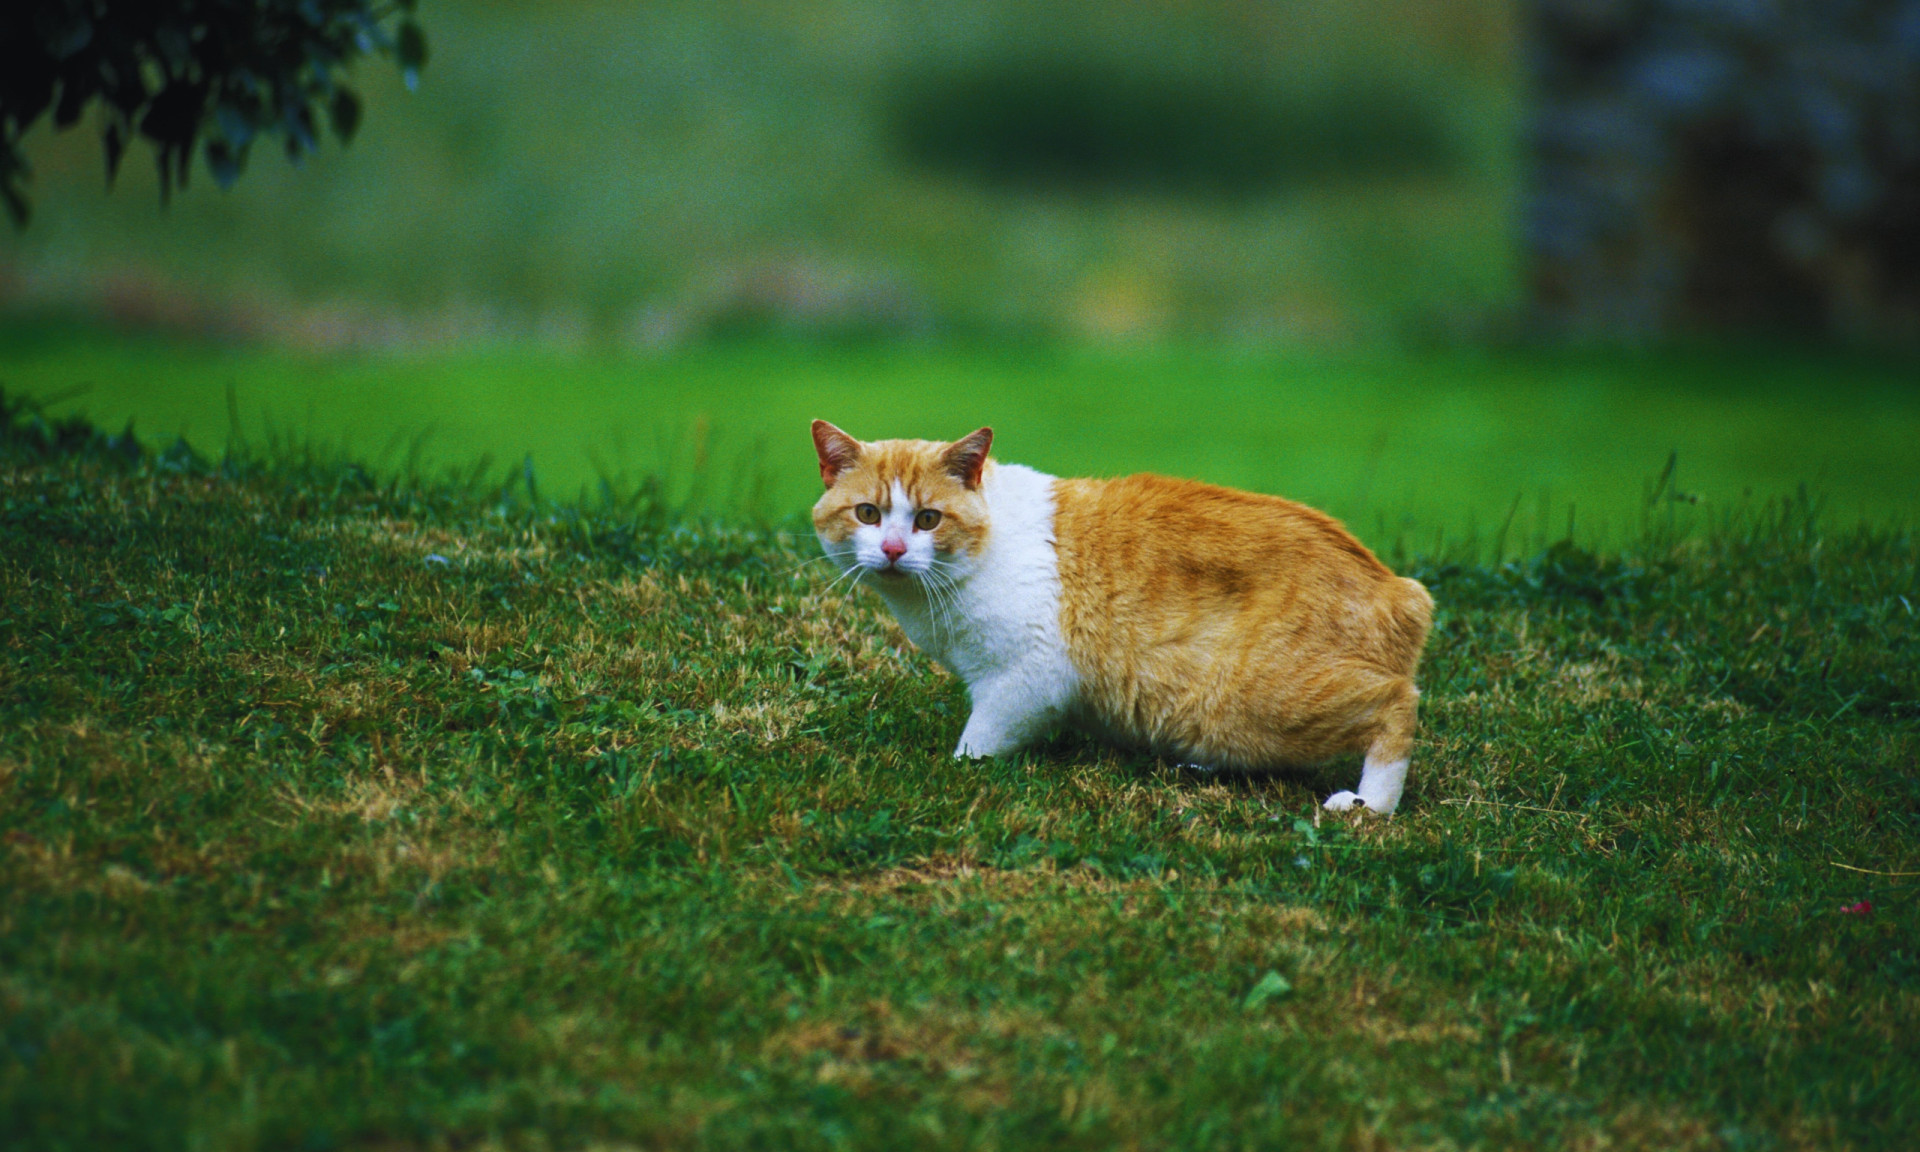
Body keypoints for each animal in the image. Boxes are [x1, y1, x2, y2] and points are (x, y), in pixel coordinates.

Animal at [802, 420, 1436, 810]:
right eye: (867, 513)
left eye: (928, 519)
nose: (892, 550)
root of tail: (1398, 588)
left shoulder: (1025, 681)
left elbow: (978, 742)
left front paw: (959, 768)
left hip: (1265, 700)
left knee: (1397, 703)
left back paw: (1372, 804)